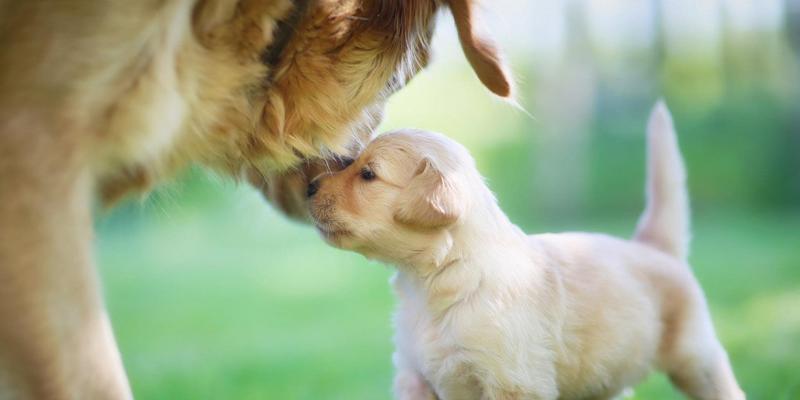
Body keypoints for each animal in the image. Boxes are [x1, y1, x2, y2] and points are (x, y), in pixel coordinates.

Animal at [306, 103, 744, 400]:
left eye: (368, 174)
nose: (309, 187)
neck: (436, 279)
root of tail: (654, 246)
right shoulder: (414, 377)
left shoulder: (513, 381)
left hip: (696, 358)